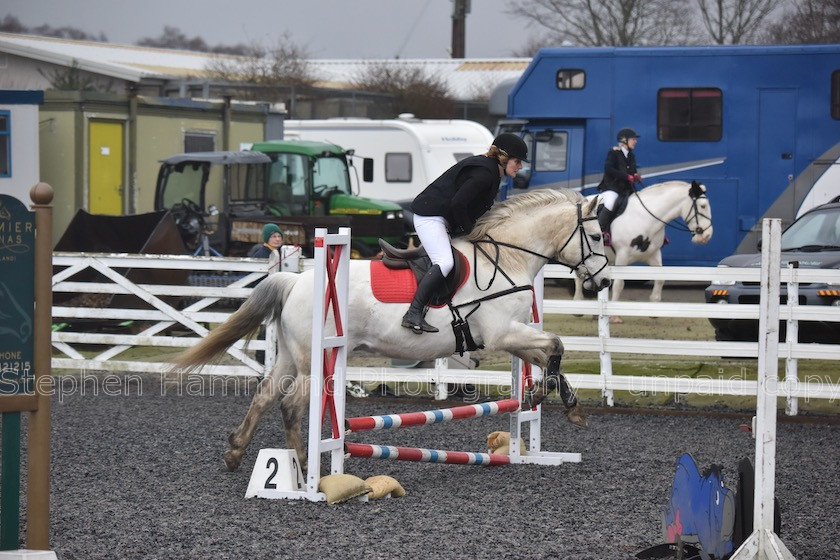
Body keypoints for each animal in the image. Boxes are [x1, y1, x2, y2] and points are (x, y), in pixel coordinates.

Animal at [172, 190, 612, 470]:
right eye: (594, 236)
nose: (604, 282)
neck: (508, 259)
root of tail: (294, 281)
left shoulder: (514, 336)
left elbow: (552, 354)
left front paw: (563, 403)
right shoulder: (503, 334)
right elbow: (556, 344)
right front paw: (544, 396)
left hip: (292, 356)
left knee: (265, 397)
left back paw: (235, 453)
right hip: (316, 360)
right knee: (291, 406)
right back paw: (306, 467)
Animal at [576, 182, 712, 322]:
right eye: (703, 206)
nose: (707, 235)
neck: (645, 218)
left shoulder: (654, 254)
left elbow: (660, 279)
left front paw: (654, 307)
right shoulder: (622, 256)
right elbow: (619, 283)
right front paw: (615, 316)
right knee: (579, 279)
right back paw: (578, 306)